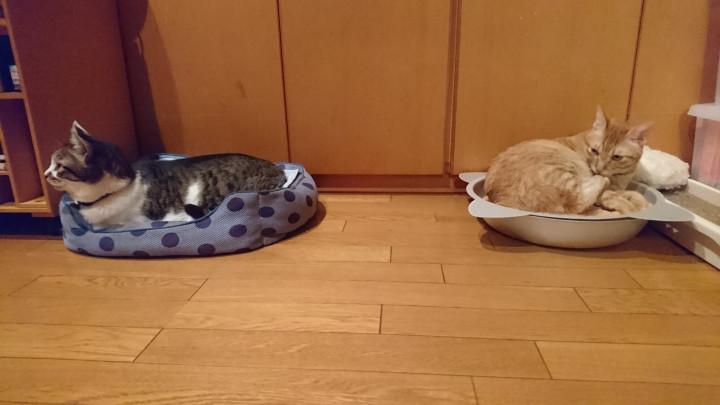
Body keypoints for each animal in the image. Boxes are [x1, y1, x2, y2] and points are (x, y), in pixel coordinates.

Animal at [484, 107, 651, 215]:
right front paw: (631, 208)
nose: (599, 169)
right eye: (595, 151)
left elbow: (632, 194)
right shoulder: (606, 192)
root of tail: (498, 199)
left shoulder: (620, 187)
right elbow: (615, 197)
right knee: (577, 204)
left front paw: (641, 202)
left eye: (616, 157)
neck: (620, 177)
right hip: (564, 168)